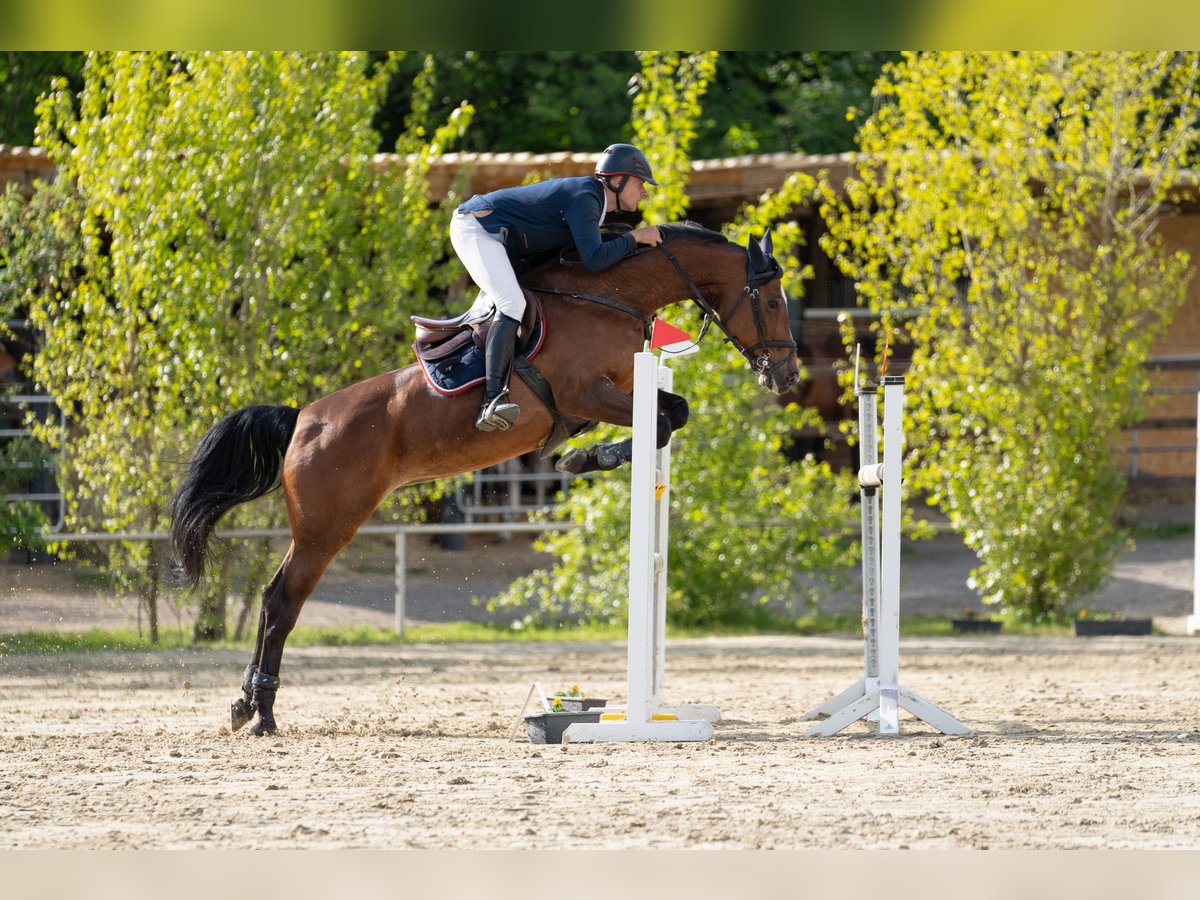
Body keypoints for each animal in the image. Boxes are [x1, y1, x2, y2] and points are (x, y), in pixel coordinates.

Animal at [169, 222, 801, 734]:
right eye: (771, 301)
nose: (788, 376)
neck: (607, 297)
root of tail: (301, 418)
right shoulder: (587, 394)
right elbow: (666, 419)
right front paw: (582, 460)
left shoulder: (617, 393)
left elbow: (676, 412)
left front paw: (582, 458)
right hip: (327, 529)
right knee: (281, 602)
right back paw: (263, 715)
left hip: (318, 528)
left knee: (272, 598)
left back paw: (243, 705)